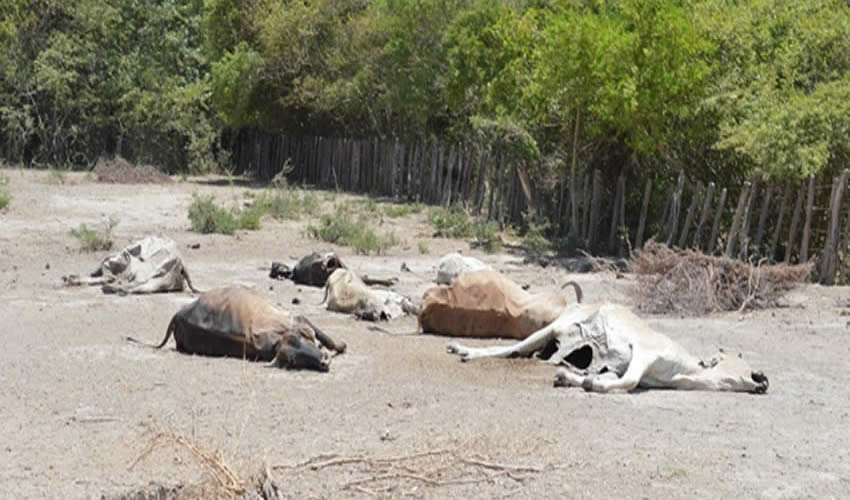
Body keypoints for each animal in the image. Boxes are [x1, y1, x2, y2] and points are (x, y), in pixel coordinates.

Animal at [63, 235, 198, 295]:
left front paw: (71, 278)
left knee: (131, 285)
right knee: (136, 288)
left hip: (153, 276)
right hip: (158, 282)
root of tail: (182, 266)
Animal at [446, 301, 769, 394]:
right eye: (734, 359)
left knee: (517, 351)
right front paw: (588, 383)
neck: (685, 370)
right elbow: (629, 381)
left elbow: (614, 378)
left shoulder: (618, 367)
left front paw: (574, 378)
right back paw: (462, 350)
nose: (762, 378)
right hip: (551, 328)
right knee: (508, 349)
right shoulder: (644, 352)